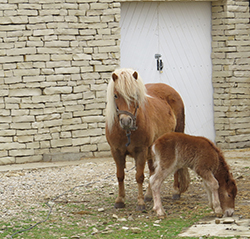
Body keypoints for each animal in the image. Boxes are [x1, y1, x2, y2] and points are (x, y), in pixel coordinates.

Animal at [105, 68, 189, 210]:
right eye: (115, 95)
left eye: (135, 95)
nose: (126, 121)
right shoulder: (116, 152)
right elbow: (120, 176)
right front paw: (120, 200)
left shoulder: (141, 151)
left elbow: (139, 176)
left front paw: (140, 203)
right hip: (152, 149)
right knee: (152, 170)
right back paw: (149, 195)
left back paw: (175, 192)